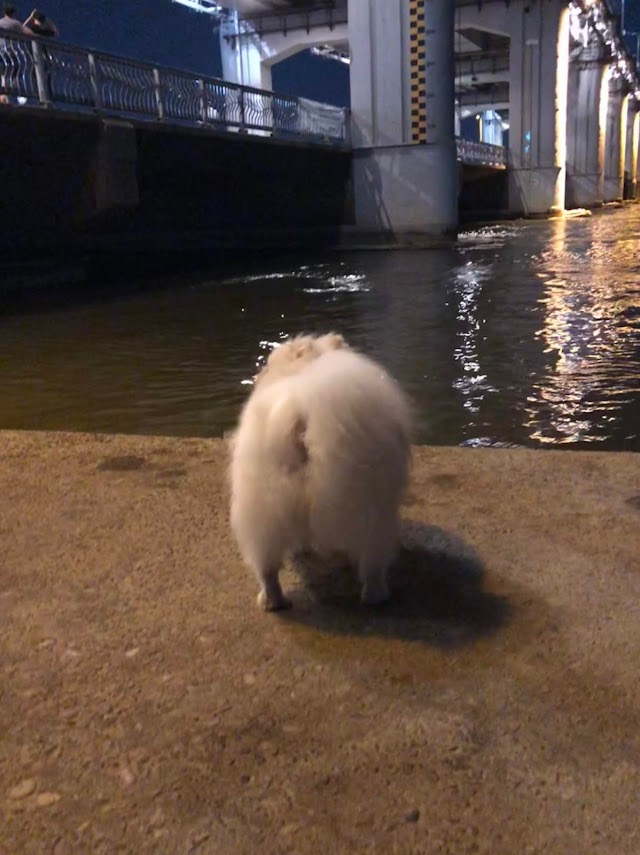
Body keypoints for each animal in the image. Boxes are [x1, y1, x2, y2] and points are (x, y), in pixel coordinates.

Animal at [229, 332, 410, 608]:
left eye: (269, 363)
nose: (260, 374)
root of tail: (301, 413)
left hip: (263, 508)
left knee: (267, 568)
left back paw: (272, 601)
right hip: (374, 511)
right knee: (373, 563)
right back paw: (376, 596)